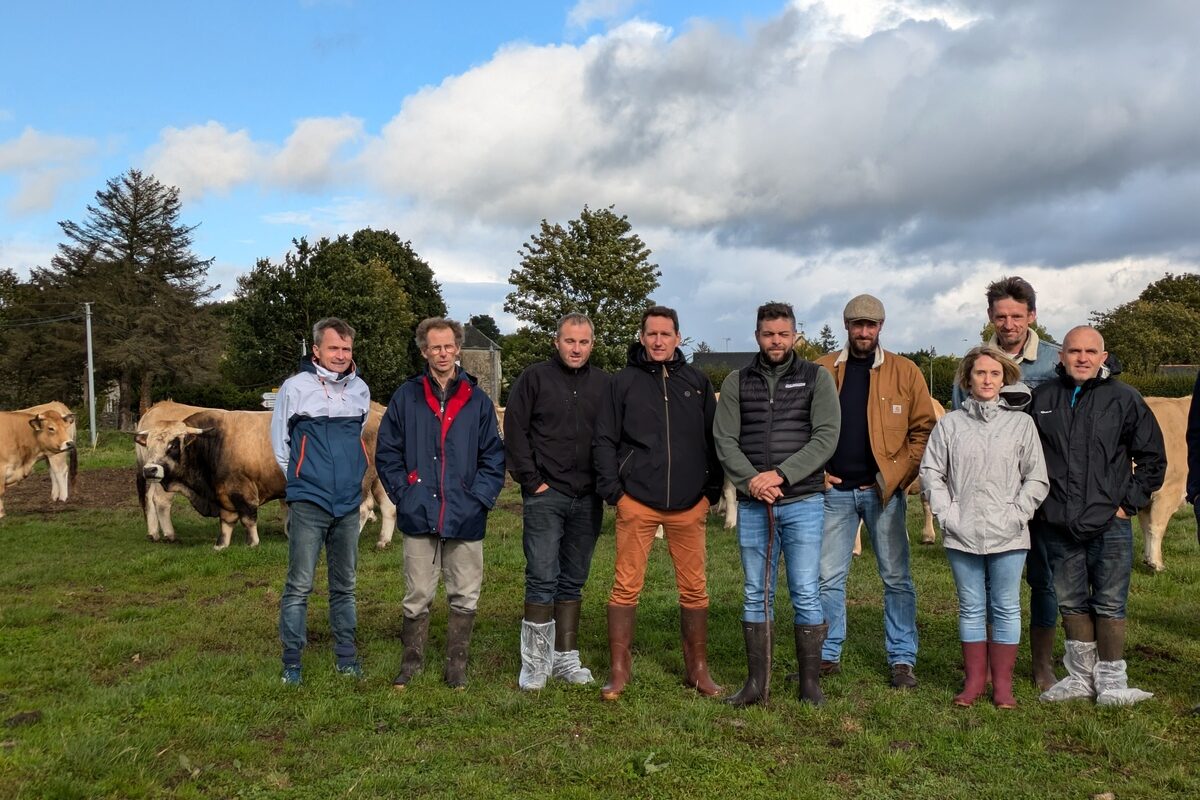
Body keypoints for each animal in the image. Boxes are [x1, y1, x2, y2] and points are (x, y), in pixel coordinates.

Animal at [136, 407, 285, 551]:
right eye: (148, 445)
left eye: (173, 445)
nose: (149, 470)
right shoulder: (223, 493)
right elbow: (226, 521)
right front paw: (221, 545)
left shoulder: (243, 490)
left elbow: (248, 518)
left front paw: (252, 543)